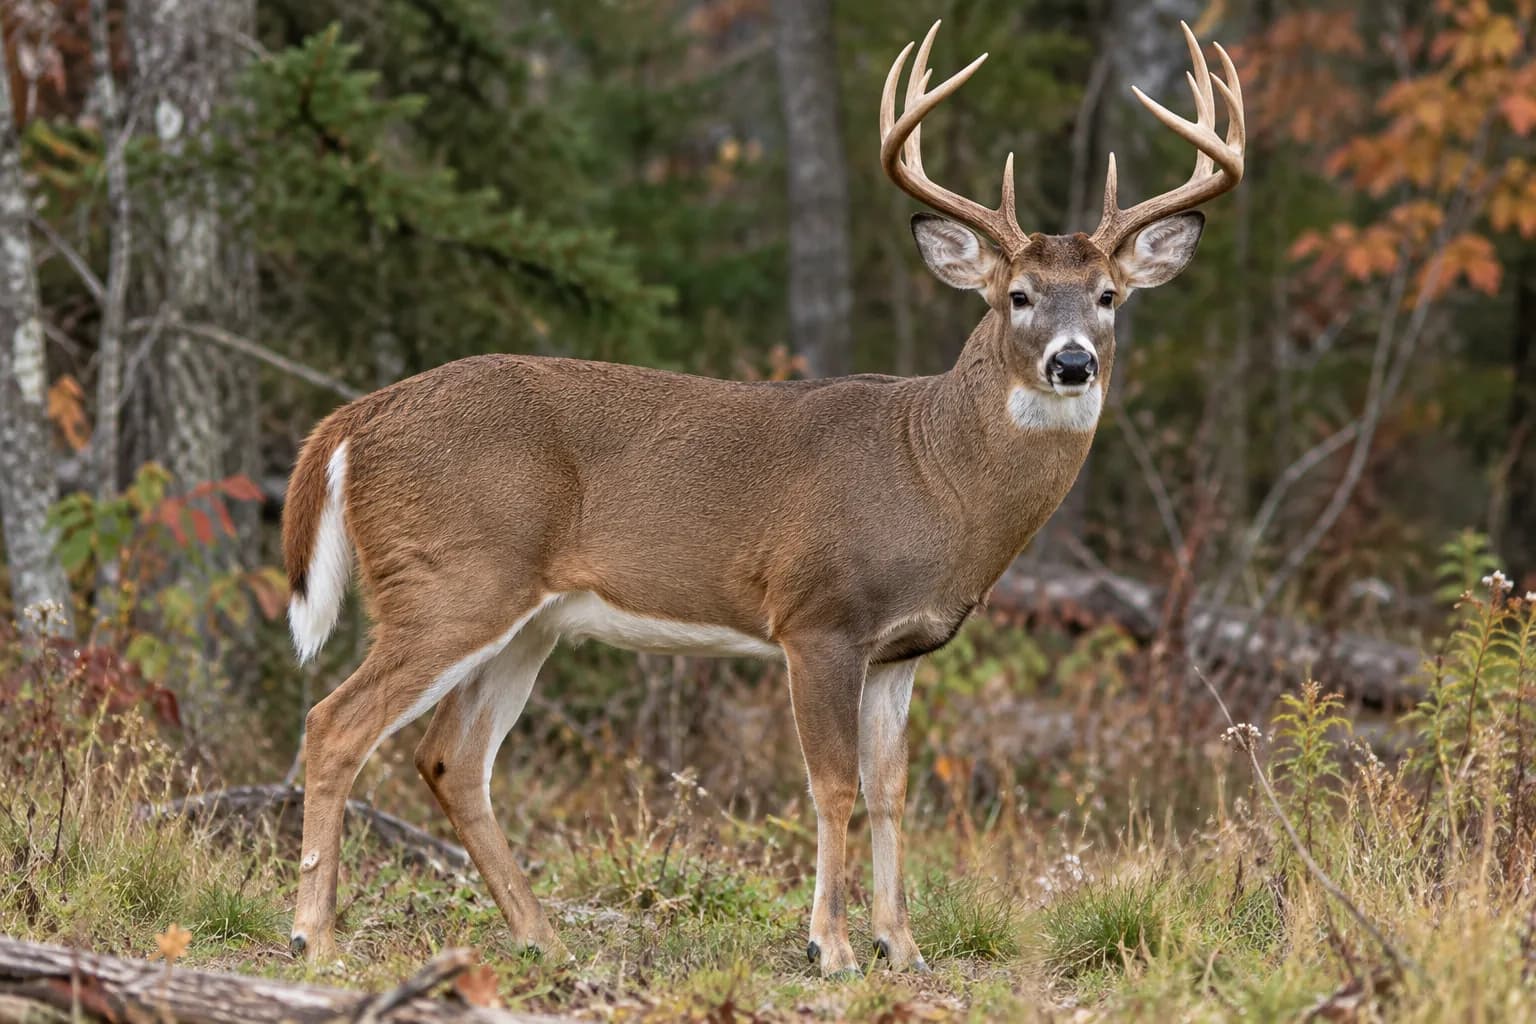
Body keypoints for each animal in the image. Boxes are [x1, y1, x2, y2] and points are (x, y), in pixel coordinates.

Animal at [282, 20, 1244, 976]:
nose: (1072, 362)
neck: (936, 475)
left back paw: (541, 938)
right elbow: (833, 784)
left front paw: (903, 945)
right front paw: (832, 945)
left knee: (452, 758)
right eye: (1019, 295)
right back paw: (316, 939)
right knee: (336, 723)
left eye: (1110, 296)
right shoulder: (818, 617)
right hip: (450, 579)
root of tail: (353, 419)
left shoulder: (903, 648)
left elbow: (891, 788)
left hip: (529, 618)